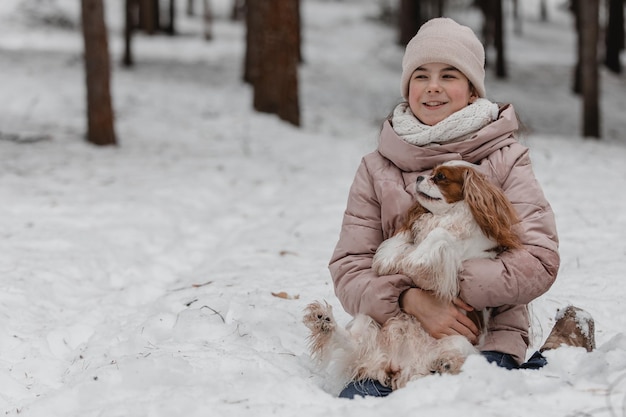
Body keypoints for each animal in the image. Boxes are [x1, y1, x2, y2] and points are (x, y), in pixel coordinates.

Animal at [302, 160, 520, 390]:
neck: (447, 215)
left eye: (440, 177)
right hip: (368, 319)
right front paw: (388, 260)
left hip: (460, 341)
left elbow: (438, 235)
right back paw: (324, 322)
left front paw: (413, 259)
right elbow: (402, 240)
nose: (419, 177)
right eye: (431, 172)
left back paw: (446, 363)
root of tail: (399, 365)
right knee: (351, 342)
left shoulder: (458, 259)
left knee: (447, 363)